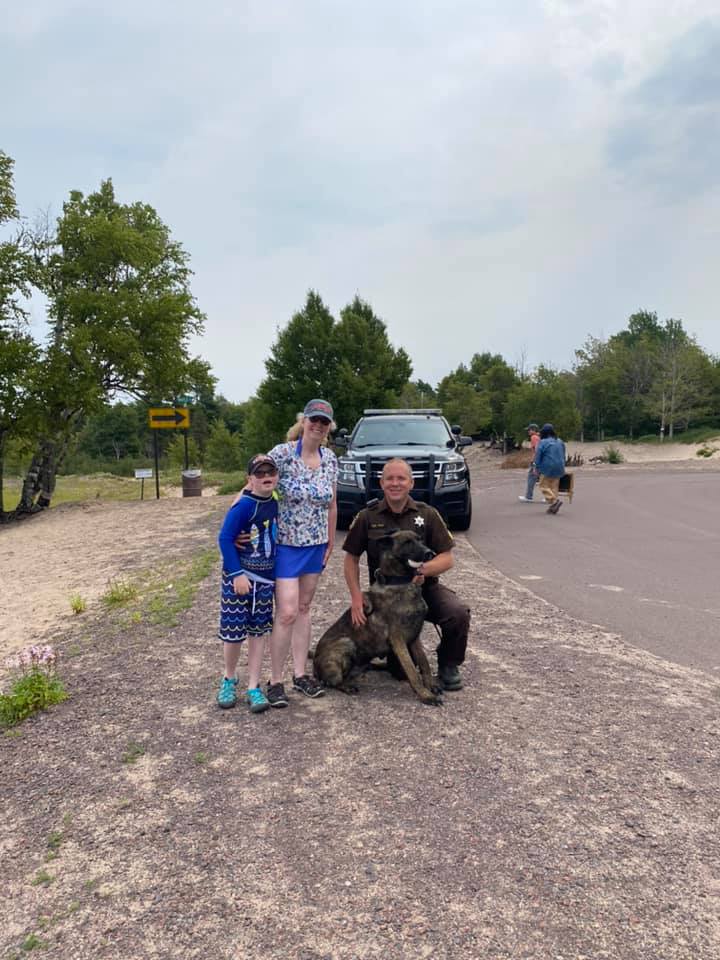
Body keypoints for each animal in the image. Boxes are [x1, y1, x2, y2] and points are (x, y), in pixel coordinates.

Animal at [312, 524, 442, 704]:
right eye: (407, 542)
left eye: (420, 539)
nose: (431, 553)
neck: (399, 583)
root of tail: (314, 664)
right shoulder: (398, 639)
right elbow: (411, 669)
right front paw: (425, 695)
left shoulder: (415, 636)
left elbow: (424, 663)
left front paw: (430, 686)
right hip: (346, 643)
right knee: (333, 681)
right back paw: (346, 685)